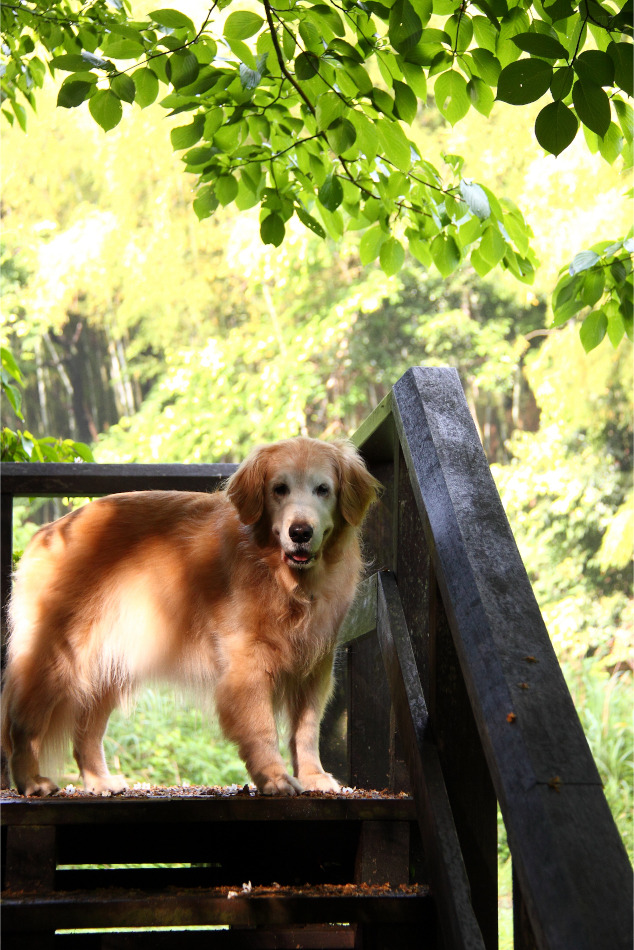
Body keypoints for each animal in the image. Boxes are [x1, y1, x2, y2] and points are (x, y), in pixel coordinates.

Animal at [2, 442, 378, 800]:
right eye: (279, 489)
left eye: (322, 489)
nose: (300, 532)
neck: (283, 578)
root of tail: (47, 532)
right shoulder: (247, 664)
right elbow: (262, 729)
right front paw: (274, 778)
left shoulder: (315, 665)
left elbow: (307, 729)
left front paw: (313, 776)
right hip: (56, 659)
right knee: (21, 725)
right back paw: (31, 781)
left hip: (107, 668)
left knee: (86, 732)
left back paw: (99, 781)